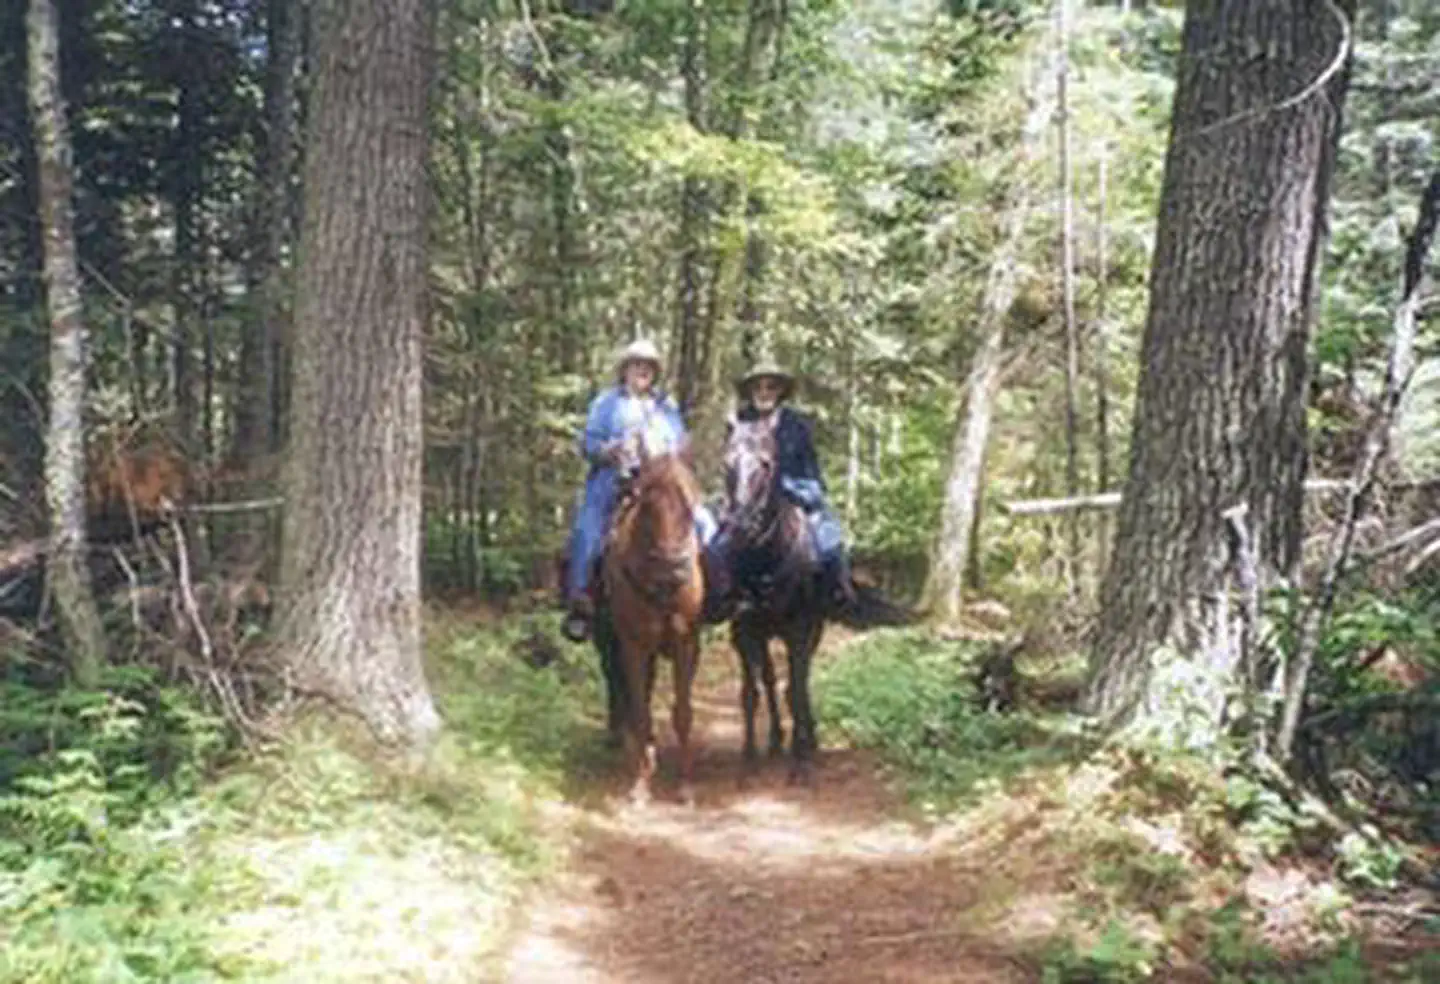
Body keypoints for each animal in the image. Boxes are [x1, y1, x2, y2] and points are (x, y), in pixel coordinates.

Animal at [599, 441, 708, 805]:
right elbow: (640, 711)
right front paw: (640, 784)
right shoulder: (632, 645)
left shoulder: (685, 641)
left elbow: (683, 712)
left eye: (691, 507)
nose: (672, 567)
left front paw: (686, 785)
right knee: (620, 688)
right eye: (646, 507)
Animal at [721, 412, 826, 784]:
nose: (740, 526)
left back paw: (807, 739)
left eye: (766, 464)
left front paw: (801, 763)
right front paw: (750, 759)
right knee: (768, 679)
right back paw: (776, 740)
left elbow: (796, 685)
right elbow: (751, 692)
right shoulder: (745, 630)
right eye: (727, 463)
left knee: (800, 680)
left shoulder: (799, 629)